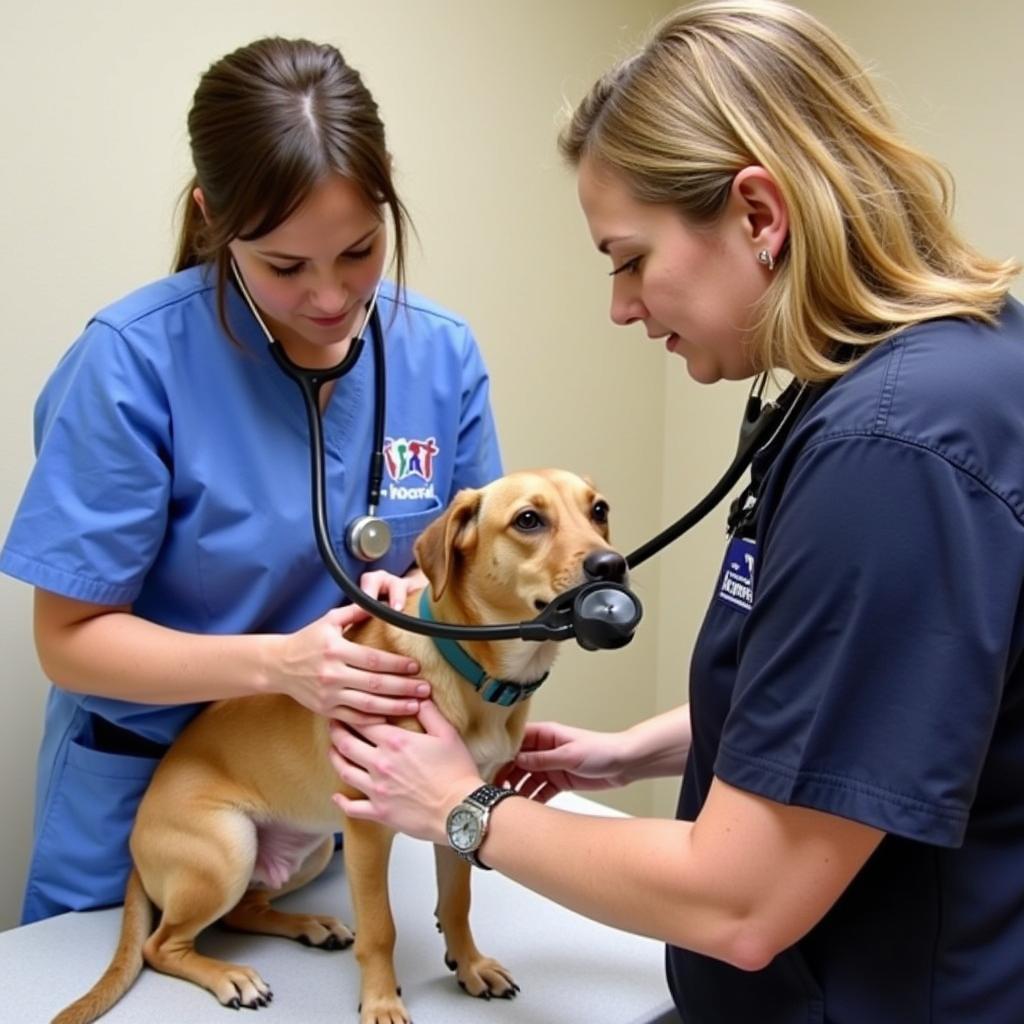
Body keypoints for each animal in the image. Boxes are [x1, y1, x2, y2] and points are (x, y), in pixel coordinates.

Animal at [58, 468, 630, 1024]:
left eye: (599, 510)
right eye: (528, 520)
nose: (612, 565)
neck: (474, 671)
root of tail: (135, 851)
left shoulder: (458, 811)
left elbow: (457, 904)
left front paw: (470, 966)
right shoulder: (366, 832)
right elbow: (381, 929)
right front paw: (381, 1002)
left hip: (305, 853)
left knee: (244, 912)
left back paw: (310, 925)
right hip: (228, 849)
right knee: (161, 946)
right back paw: (229, 976)